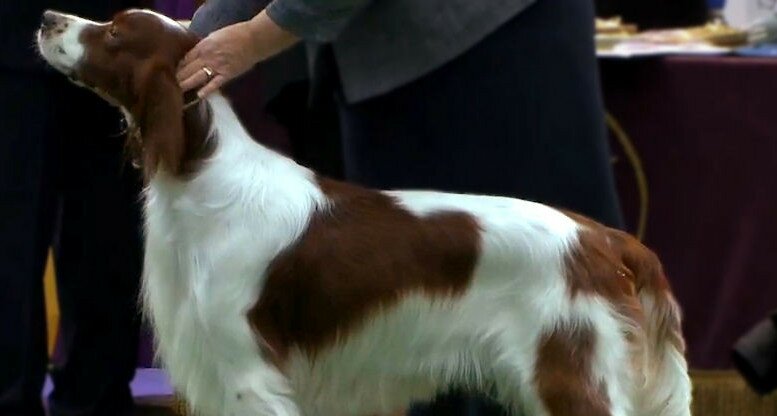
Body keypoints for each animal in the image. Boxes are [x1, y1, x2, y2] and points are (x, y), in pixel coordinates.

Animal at [36, 9, 692, 416]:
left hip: (570, 370)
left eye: (114, 32)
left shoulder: (246, 368)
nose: (46, 18)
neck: (201, 170)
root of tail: (604, 238)